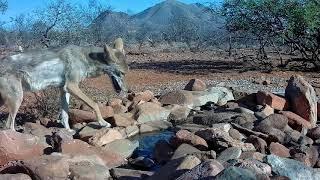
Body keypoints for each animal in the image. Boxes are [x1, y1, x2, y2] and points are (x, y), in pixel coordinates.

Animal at [0, 37, 129, 131]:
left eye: (126, 73)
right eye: (122, 73)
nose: (127, 91)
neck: (86, 58)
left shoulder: (64, 89)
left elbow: (65, 115)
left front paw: (68, 131)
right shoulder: (71, 86)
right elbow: (94, 104)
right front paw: (103, 123)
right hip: (17, 100)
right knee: (8, 126)